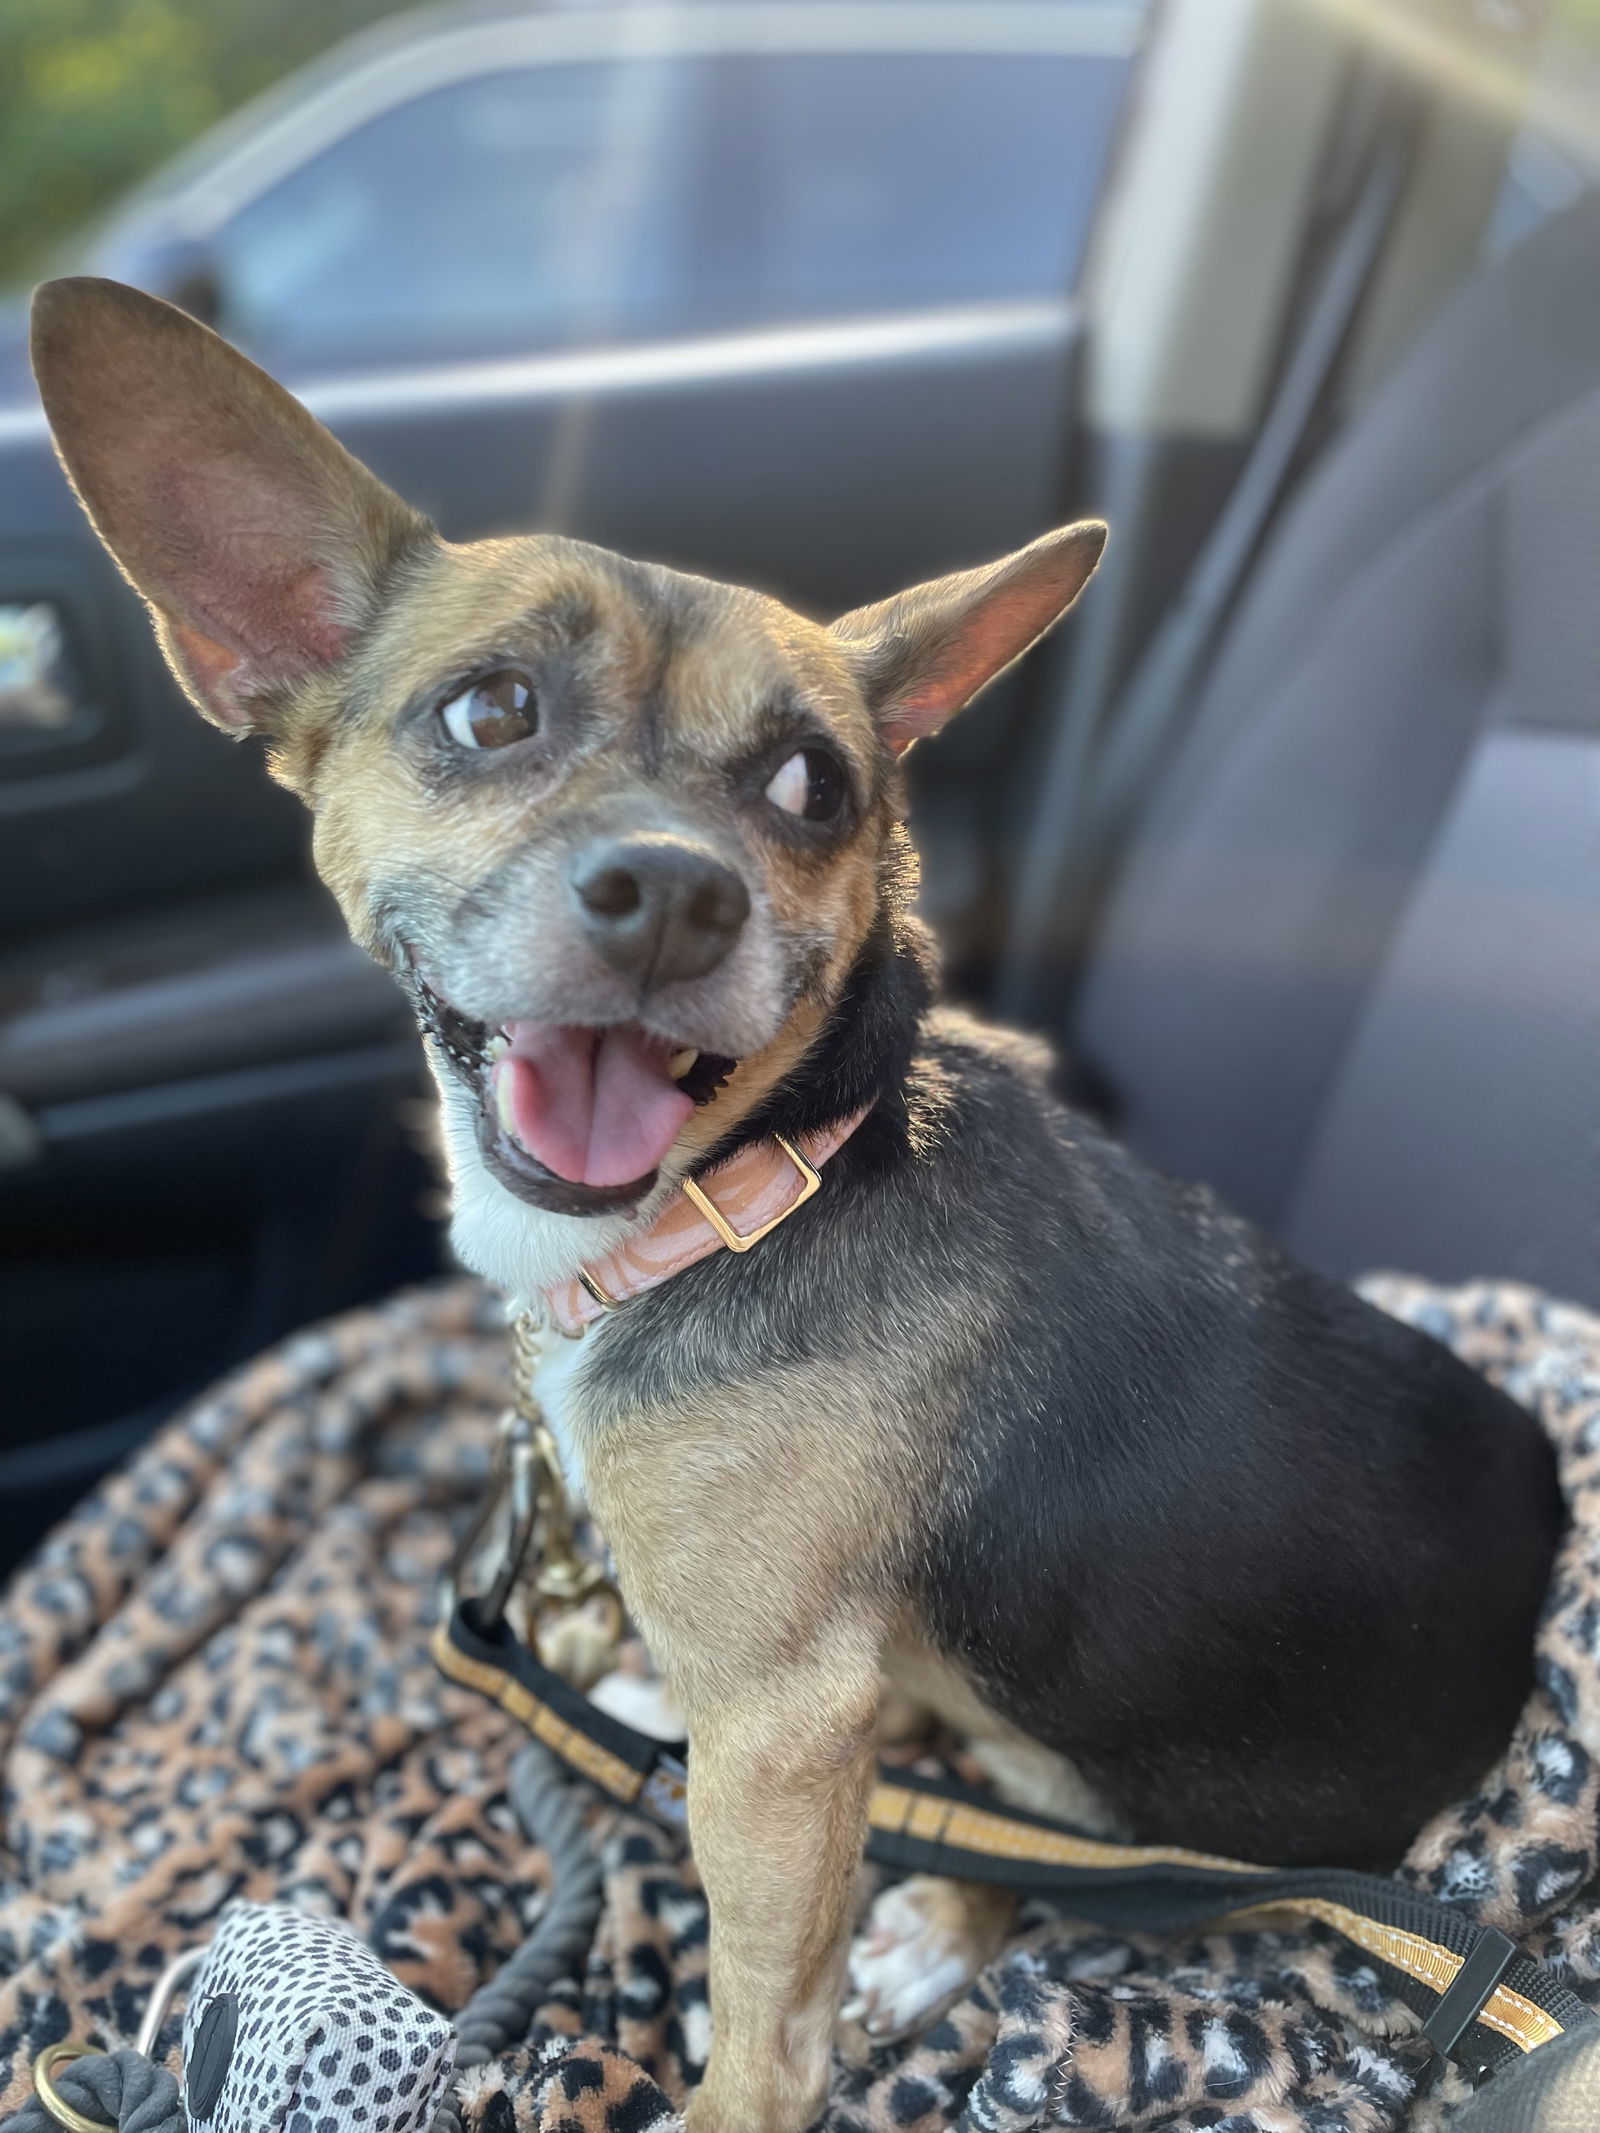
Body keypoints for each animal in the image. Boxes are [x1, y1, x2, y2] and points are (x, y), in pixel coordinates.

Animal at [34, 279, 1570, 2133]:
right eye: (489, 713)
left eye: (813, 788)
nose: (671, 894)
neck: (752, 1188)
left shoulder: (784, 1731)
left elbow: (765, 2008)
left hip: (1124, 1753)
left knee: (1047, 1835)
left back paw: (936, 1924)